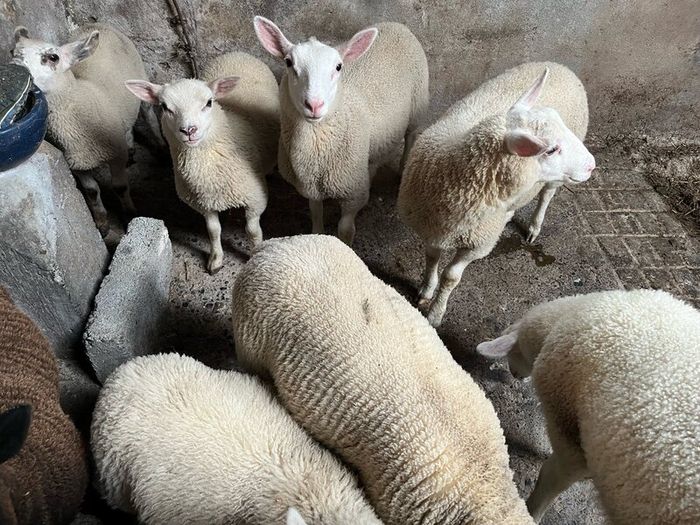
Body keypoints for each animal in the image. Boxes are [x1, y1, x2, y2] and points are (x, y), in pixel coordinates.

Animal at [11, 24, 148, 237]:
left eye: (53, 57)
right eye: (12, 51)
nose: (15, 66)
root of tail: (98, 25)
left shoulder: (115, 155)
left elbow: (120, 187)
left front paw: (130, 215)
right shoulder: (77, 162)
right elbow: (92, 192)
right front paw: (102, 224)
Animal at [125, 52, 279, 274]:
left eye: (208, 102)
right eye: (164, 107)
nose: (189, 130)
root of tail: (236, 54)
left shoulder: (255, 198)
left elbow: (252, 230)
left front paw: (256, 253)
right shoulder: (203, 203)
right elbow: (213, 231)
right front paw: (216, 259)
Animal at [253, 17, 429, 245]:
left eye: (338, 67)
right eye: (289, 62)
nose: (314, 105)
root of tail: (396, 24)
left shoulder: (352, 195)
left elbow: (345, 229)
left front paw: (345, 247)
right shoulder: (311, 187)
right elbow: (315, 213)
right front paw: (318, 233)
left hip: (418, 103)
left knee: (411, 136)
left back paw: (403, 168)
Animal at [397, 62, 596, 327]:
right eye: (551, 149)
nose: (591, 165)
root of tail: (560, 66)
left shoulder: (478, 244)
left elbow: (451, 277)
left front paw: (436, 314)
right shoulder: (432, 229)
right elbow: (431, 259)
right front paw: (426, 290)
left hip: (556, 179)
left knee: (546, 196)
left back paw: (534, 227)